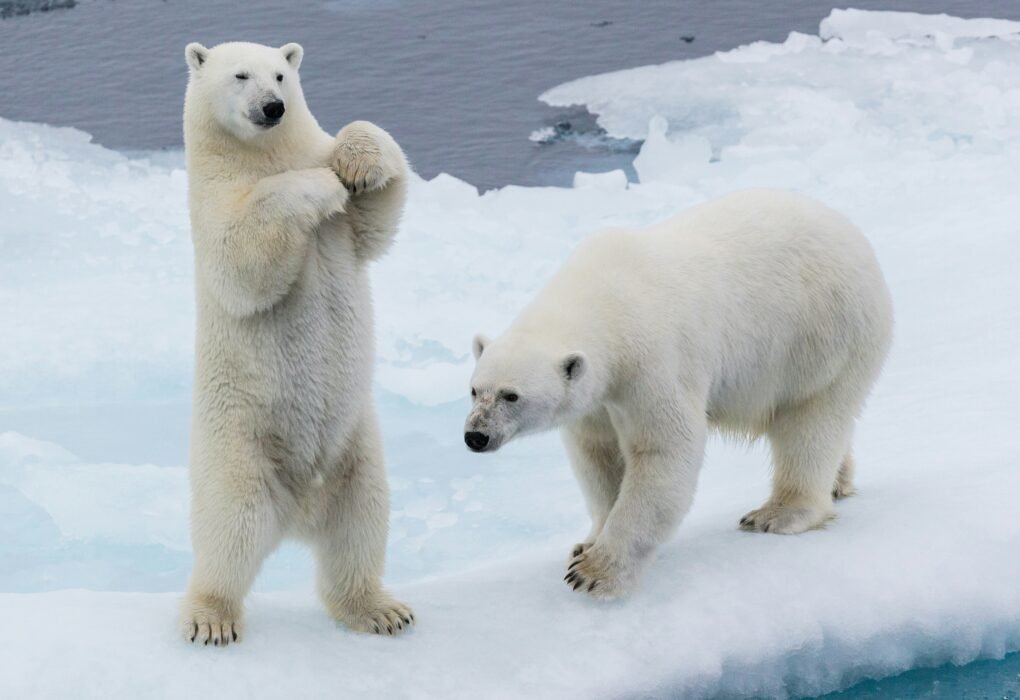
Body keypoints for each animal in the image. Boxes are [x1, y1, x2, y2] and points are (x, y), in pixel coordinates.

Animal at [180, 40, 413, 645]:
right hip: (238, 446)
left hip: (356, 450)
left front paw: (356, 164)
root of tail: (299, 512)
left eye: (281, 75)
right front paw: (321, 185)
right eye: (240, 76)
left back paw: (380, 609)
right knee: (229, 532)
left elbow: (377, 219)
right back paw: (211, 617)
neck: (262, 154)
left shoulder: (347, 228)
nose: (272, 108)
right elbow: (242, 259)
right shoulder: (212, 201)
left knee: (360, 525)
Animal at [464, 189, 893, 600]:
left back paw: (778, 513)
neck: (606, 298)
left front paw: (594, 573)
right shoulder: (599, 396)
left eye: (511, 396)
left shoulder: (652, 360)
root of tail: (856, 238)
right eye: (474, 390)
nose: (475, 436)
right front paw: (586, 543)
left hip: (821, 334)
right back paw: (839, 481)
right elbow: (598, 455)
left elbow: (663, 450)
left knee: (810, 421)